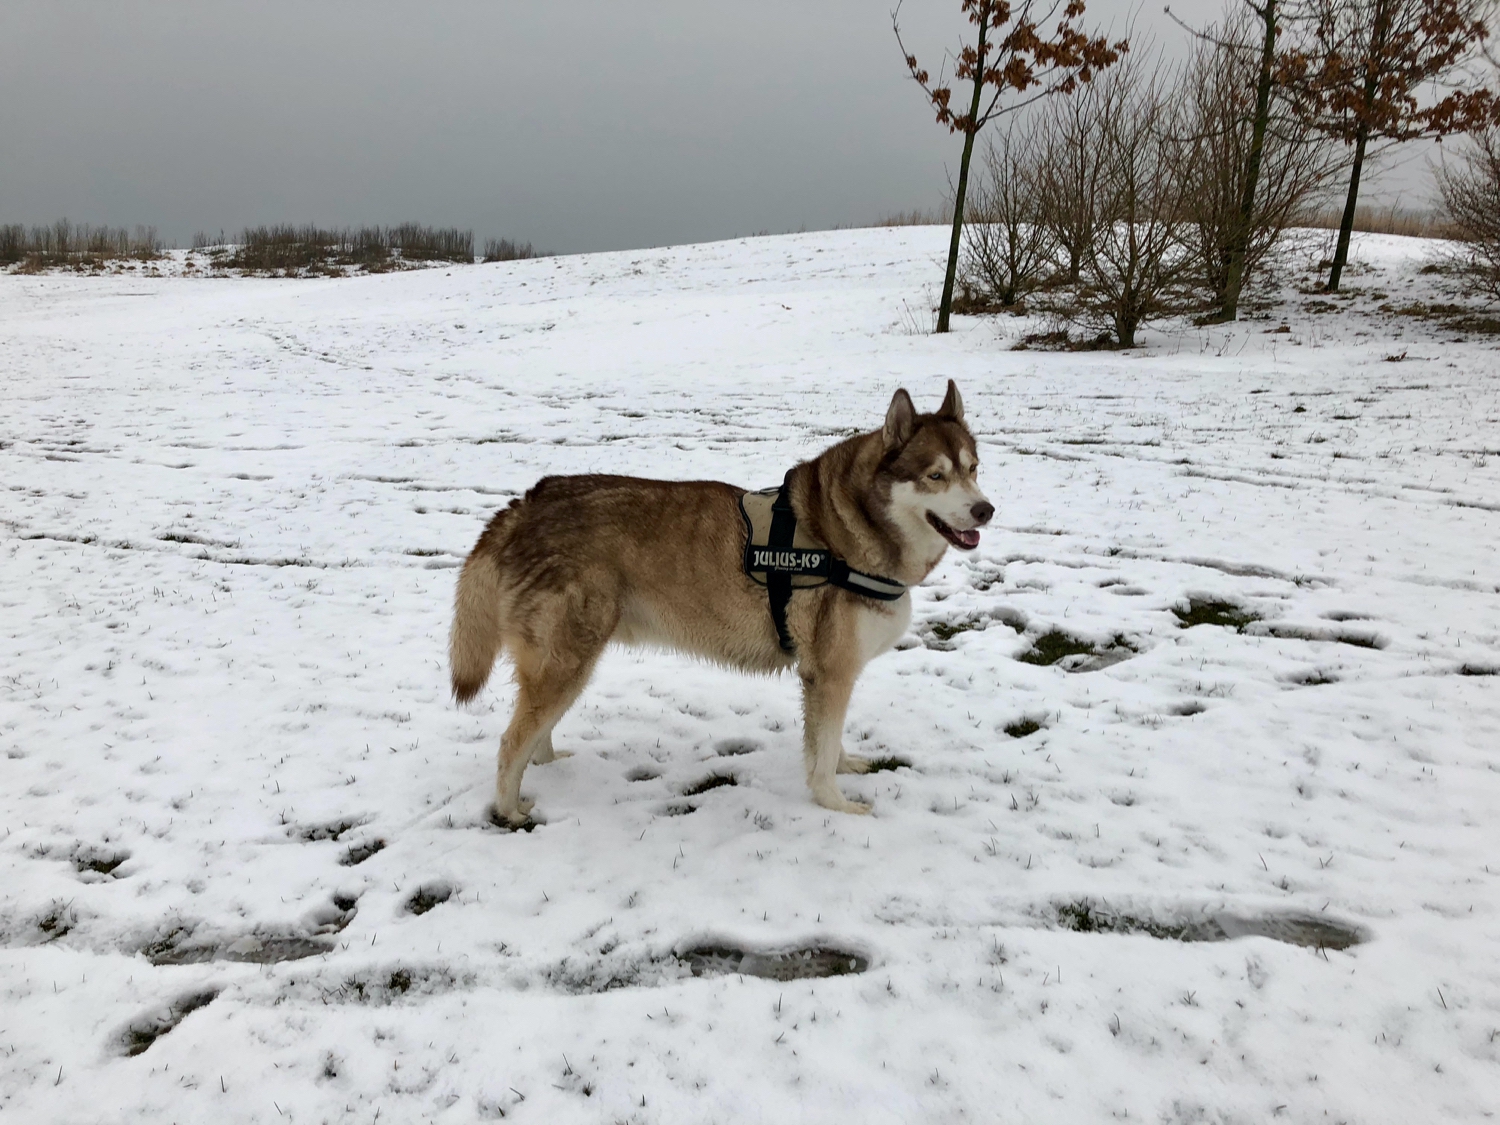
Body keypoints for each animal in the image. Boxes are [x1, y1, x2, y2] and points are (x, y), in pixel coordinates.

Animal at [444, 381, 990, 828]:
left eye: (973, 469)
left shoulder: (829, 677)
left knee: (536, 737)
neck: (848, 531)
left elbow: (828, 745)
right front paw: (834, 804)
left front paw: (845, 766)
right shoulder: (830, 673)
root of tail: (526, 503)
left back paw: (552, 767)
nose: (985, 509)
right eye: (935, 476)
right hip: (567, 662)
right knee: (510, 743)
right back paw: (510, 811)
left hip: (569, 665)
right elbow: (821, 755)